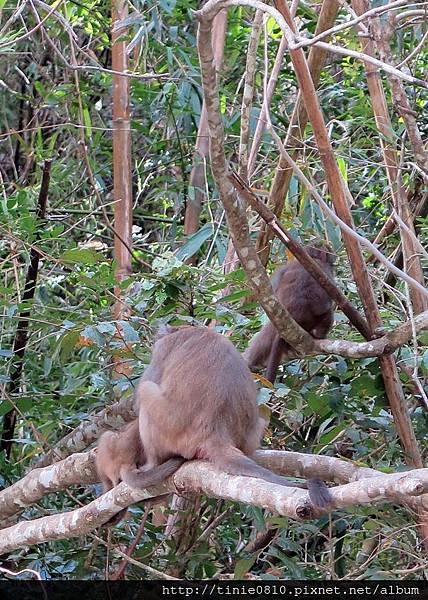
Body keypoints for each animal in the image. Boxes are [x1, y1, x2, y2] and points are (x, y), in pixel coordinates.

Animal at [99, 324, 332, 510]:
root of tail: (215, 432)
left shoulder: (163, 348)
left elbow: (141, 398)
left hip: (170, 431)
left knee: (147, 391)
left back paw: (152, 466)